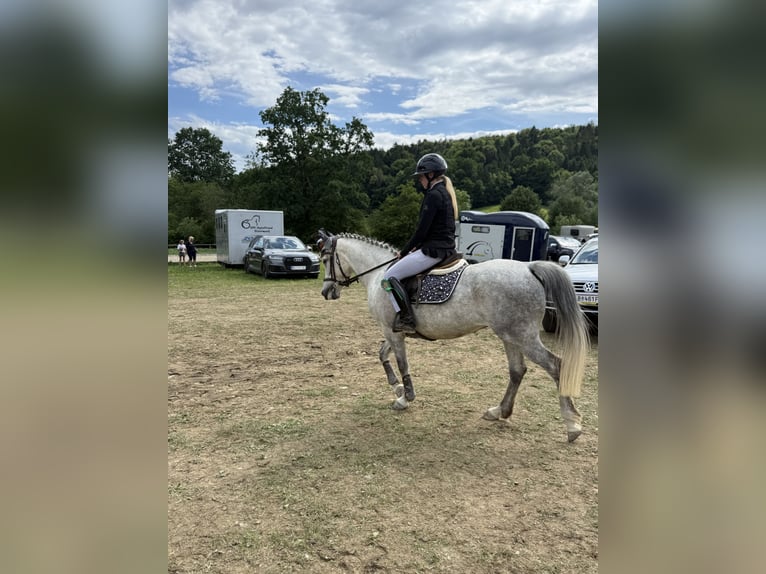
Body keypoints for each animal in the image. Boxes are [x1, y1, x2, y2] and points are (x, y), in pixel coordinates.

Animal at [317, 230, 590, 442]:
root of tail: (528, 266)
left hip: (523, 336)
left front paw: (405, 398)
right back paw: (499, 411)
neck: (378, 273)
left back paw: (572, 425)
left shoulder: (391, 331)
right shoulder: (393, 331)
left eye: (325, 259)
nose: (326, 291)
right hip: (509, 335)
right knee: (517, 371)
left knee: (556, 366)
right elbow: (382, 354)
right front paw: (396, 387)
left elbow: (402, 363)